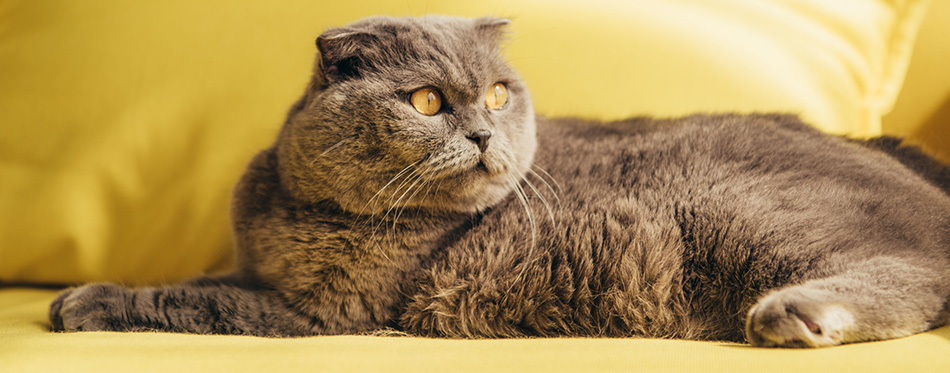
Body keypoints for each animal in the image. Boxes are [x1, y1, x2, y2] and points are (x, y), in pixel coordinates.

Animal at [48, 14, 950, 346]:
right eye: (425, 100)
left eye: (494, 93)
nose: (483, 131)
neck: (297, 206)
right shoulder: (261, 271)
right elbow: (212, 278)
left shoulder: (328, 310)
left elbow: (195, 296)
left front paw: (88, 297)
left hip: (749, 211)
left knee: (921, 272)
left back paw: (795, 314)